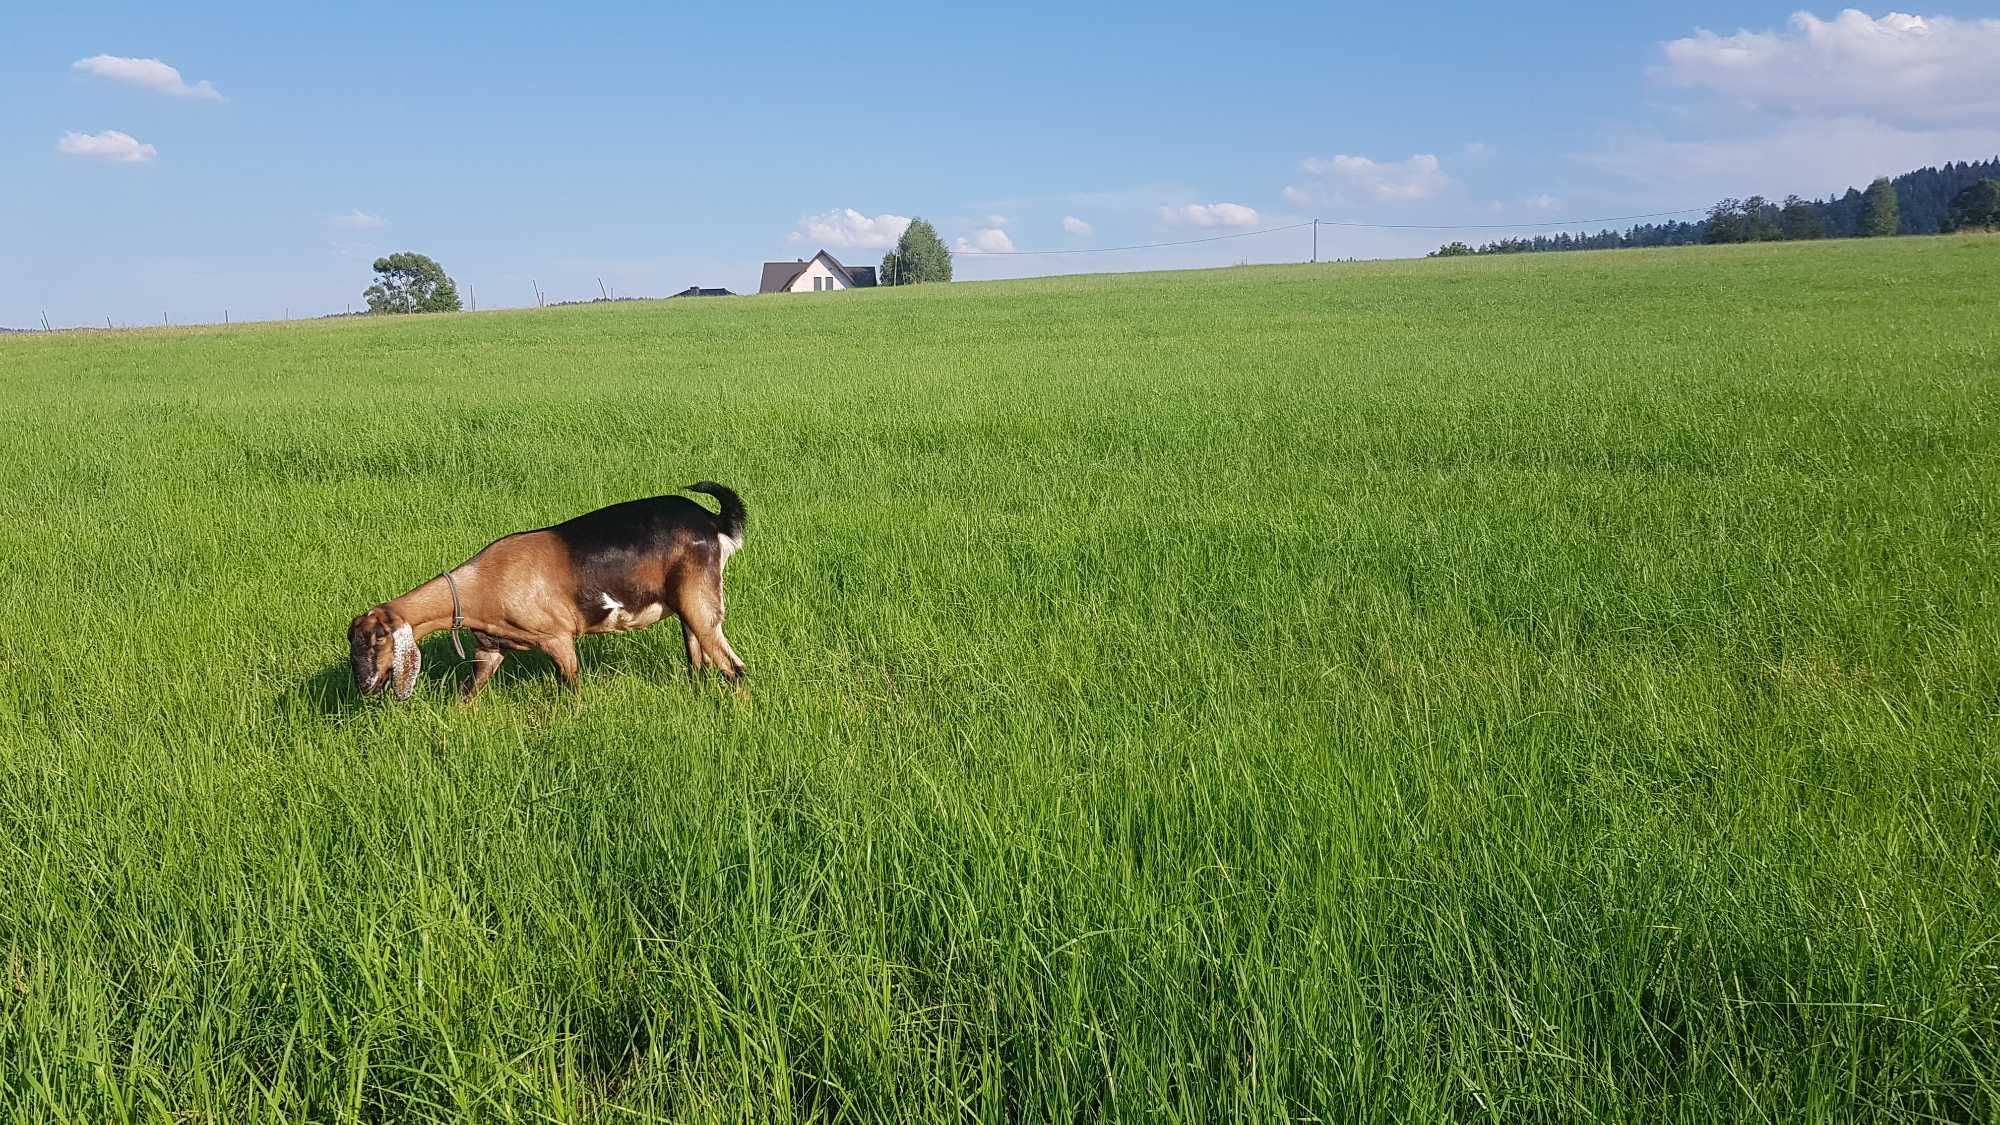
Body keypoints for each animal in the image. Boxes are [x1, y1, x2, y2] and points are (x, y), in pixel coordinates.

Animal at [348, 480, 748, 696]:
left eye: (378, 639)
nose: (364, 685)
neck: (481, 584)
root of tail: (713, 522)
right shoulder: (489, 650)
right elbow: (467, 694)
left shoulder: (559, 640)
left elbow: (570, 693)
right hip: (688, 610)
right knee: (700, 663)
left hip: (701, 603)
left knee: (735, 668)